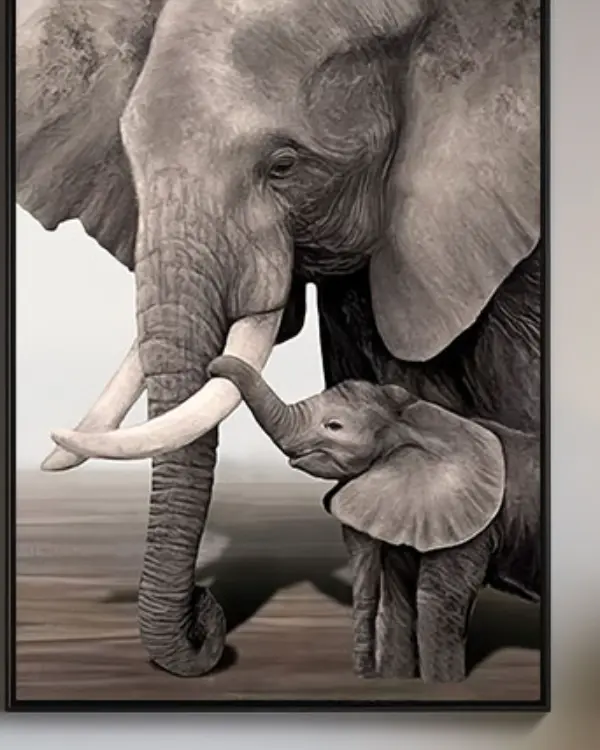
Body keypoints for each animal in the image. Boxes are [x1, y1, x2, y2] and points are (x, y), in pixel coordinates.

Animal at [207, 354, 541, 683]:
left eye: (334, 425)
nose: (213, 366)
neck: (415, 420)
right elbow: (398, 601)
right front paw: (395, 679)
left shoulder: (470, 524)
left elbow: (437, 601)